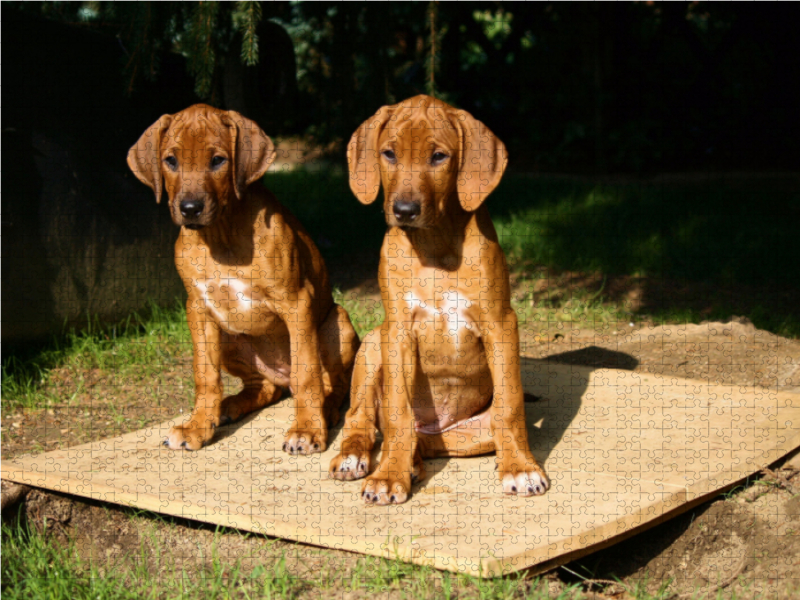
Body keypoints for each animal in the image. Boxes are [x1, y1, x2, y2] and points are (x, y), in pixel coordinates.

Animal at [128, 104, 360, 450]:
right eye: (171, 160)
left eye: (217, 160)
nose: (190, 208)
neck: (221, 236)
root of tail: (281, 376)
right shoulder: (198, 310)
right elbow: (205, 375)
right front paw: (198, 425)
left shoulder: (297, 303)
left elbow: (307, 375)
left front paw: (307, 428)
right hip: (229, 338)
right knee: (263, 387)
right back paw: (228, 407)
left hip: (337, 323)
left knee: (333, 381)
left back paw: (326, 410)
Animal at [332, 95, 552, 506]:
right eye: (389, 153)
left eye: (438, 157)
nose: (404, 211)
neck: (433, 245)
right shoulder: (397, 331)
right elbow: (399, 413)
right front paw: (388, 477)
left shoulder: (501, 324)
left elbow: (511, 406)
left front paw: (521, 468)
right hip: (371, 345)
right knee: (364, 420)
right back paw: (359, 456)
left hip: (471, 431)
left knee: (434, 440)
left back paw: (414, 463)